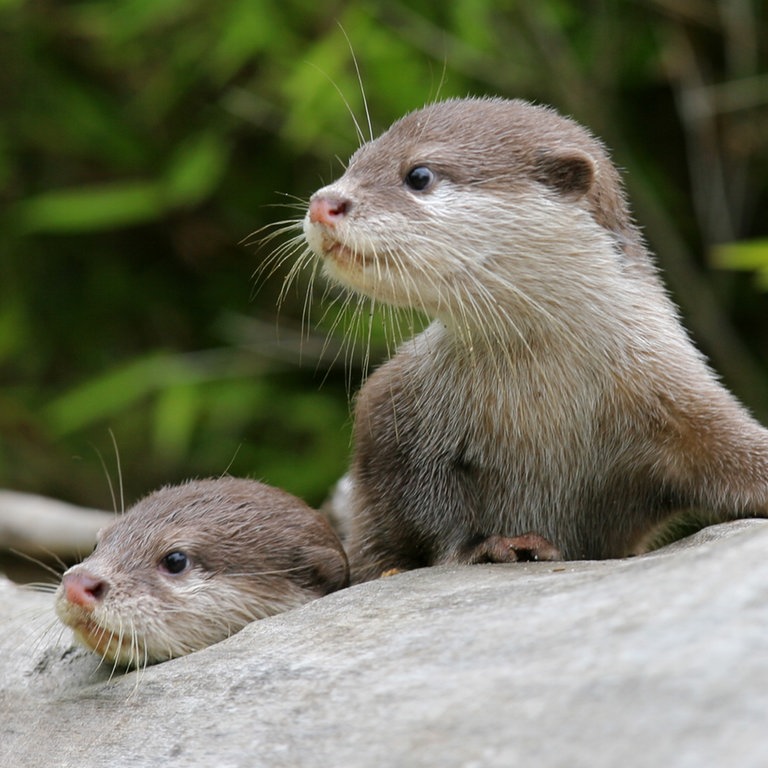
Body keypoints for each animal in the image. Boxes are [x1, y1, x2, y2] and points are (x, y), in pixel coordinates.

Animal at [296, 99, 768, 584]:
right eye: (353, 162)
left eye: (419, 175)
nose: (324, 203)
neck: (541, 397)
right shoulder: (393, 413)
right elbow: (423, 502)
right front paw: (487, 546)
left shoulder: (679, 396)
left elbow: (729, 450)